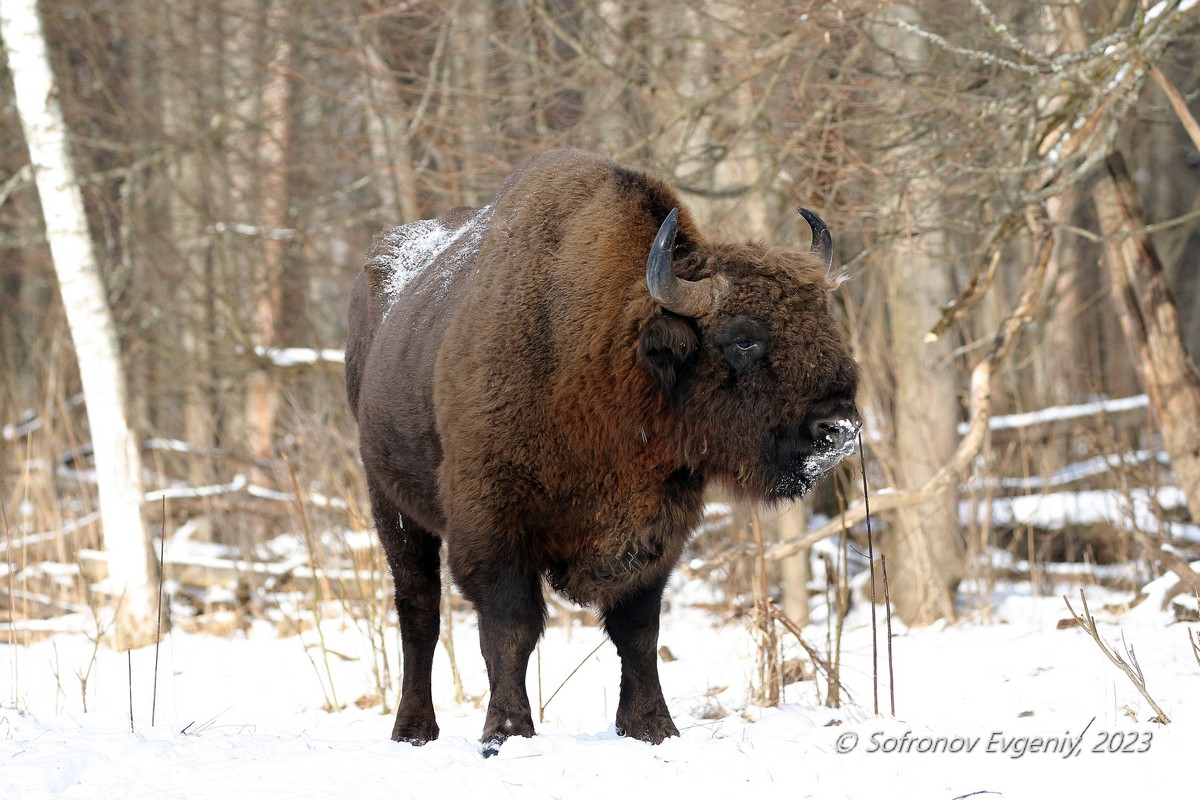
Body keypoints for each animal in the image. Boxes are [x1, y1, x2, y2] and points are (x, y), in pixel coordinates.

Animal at [348, 148, 864, 753]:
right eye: (743, 338)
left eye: (824, 320)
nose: (840, 427)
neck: (606, 352)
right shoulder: (492, 520)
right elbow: (511, 626)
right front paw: (507, 733)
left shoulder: (655, 530)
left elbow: (637, 630)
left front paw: (654, 728)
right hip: (392, 506)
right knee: (419, 612)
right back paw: (413, 730)